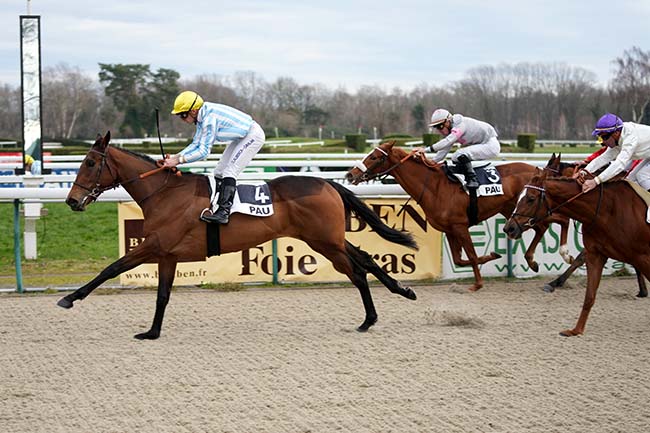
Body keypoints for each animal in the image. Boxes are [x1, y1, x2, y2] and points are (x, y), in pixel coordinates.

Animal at [59, 131, 416, 338]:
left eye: (89, 163)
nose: (72, 201)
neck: (163, 193)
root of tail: (328, 182)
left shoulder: (154, 246)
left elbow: (112, 268)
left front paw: (69, 298)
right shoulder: (168, 254)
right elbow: (162, 295)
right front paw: (152, 331)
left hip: (325, 242)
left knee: (356, 271)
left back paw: (370, 318)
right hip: (329, 239)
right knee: (365, 259)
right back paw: (399, 293)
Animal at [344, 141, 568, 290]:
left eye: (374, 157)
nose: (350, 174)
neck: (435, 187)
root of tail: (540, 172)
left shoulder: (460, 226)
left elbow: (471, 255)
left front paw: (478, 283)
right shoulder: (450, 230)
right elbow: (461, 260)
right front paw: (492, 256)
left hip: (529, 210)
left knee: (558, 220)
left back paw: (558, 254)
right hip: (515, 214)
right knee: (543, 226)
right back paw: (533, 261)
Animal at [504, 157, 648, 336]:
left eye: (530, 198)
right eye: (519, 197)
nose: (509, 228)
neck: (606, 208)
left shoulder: (639, 253)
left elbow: (579, 257)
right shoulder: (599, 250)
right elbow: (587, 283)